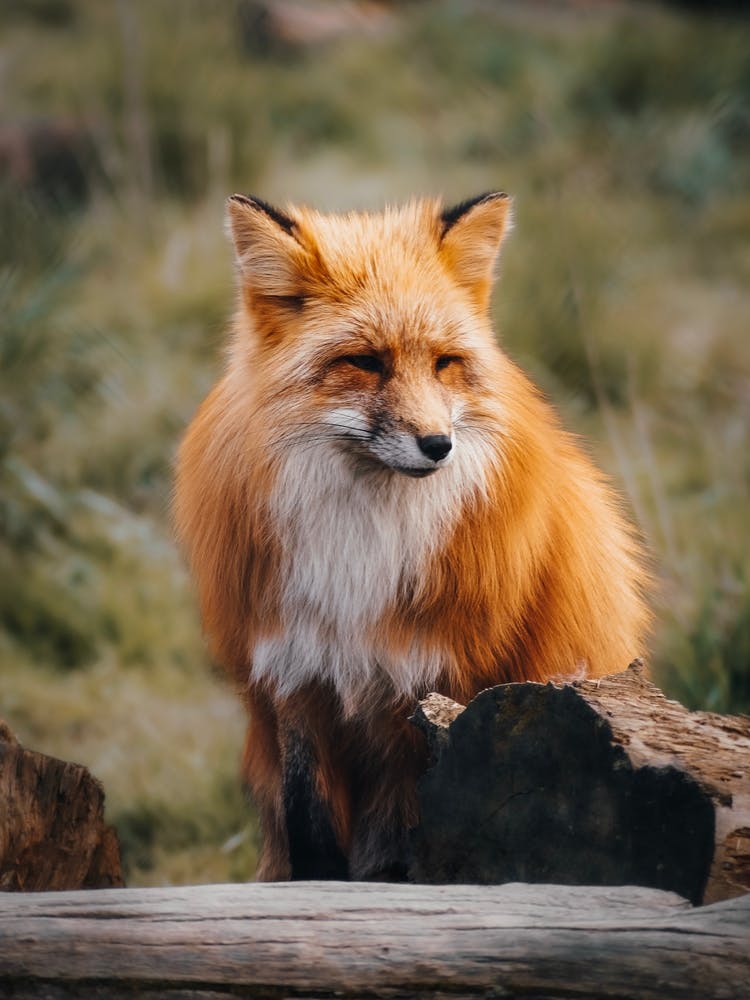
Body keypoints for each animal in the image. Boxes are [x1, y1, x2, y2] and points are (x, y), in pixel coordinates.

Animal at [174, 191, 650, 882]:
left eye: (445, 363)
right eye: (366, 362)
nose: (439, 445)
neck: (360, 549)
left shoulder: (433, 688)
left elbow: (412, 839)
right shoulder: (295, 671)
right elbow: (311, 832)